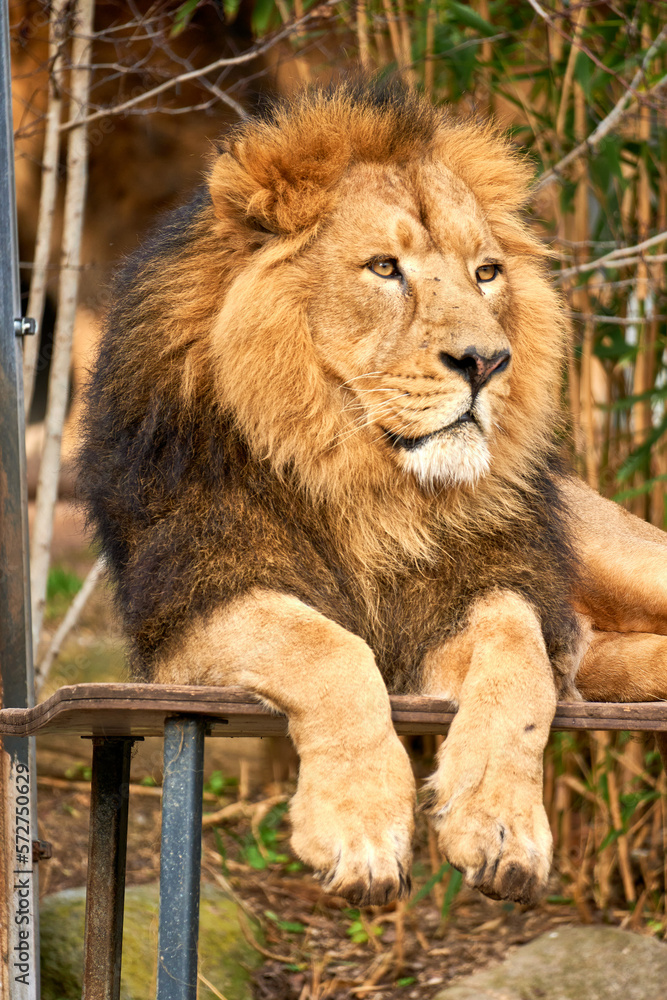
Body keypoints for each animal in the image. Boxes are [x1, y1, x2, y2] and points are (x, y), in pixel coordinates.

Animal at [79, 80, 667, 909]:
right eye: (385, 268)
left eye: (486, 273)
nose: (487, 361)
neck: (365, 482)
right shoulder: (189, 610)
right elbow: (328, 647)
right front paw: (358, 828)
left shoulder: (472, 590)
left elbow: (519, 661)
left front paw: (500, 825)